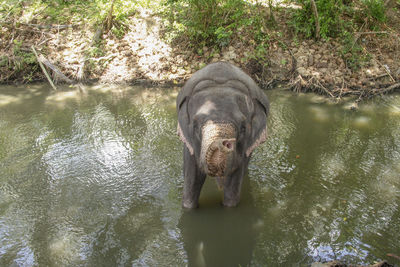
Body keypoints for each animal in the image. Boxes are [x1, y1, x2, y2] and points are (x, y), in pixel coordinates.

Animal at [176, 62, 268, 209]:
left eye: (243, 128)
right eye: (195, 127)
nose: (225, 142)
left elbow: (234, 181)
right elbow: (192, 176)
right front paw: (188, 207)